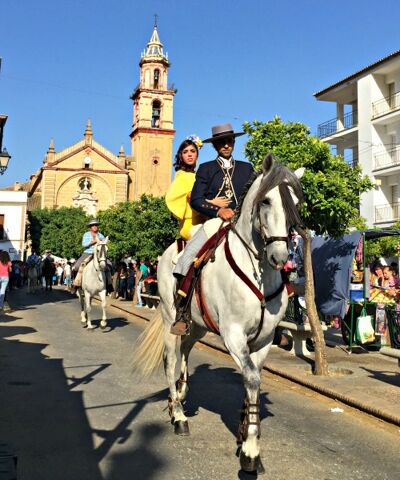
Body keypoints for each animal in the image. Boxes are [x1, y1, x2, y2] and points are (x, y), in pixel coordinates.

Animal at [133, 157, 304, 472]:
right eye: (266, 201)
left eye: (296, 202)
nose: (280, 257)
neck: (259, 272)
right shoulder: (234, 335)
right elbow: (251, 378)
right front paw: (250, 449)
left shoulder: (264, 340)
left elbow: (253, 380)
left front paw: (245, 433)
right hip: (169, 317)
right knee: (171, 359)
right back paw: (178, 415)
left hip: (196, 324)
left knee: (186, 349)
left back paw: (181, 395)